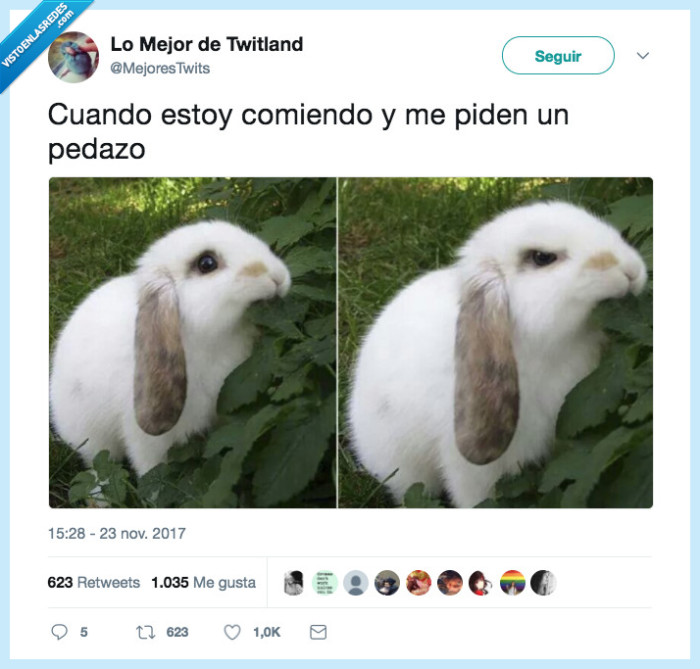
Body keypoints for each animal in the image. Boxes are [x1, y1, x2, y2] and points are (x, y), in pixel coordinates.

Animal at [50, 220, 291, 477]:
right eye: (206, 263)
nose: (277, 277)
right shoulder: (146, 439)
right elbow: (152, 469)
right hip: (93, 439)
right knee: (99, 466)